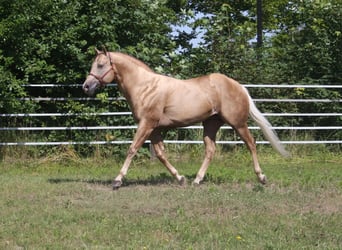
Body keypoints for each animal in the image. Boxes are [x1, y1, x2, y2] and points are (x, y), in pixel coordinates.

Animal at [83, 49, 288, 189]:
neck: (145, 87)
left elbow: (132, 149)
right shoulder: (154, 129)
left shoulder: (146, 124)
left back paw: (261, 177)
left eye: (100, 65)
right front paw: (180, 178)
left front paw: (117, 180)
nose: (86, 86)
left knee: (251, 144)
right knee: (210, 150)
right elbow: (161, 154)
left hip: (238, 123)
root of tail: (238, 86)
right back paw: (197, 180)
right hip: (211, 125)